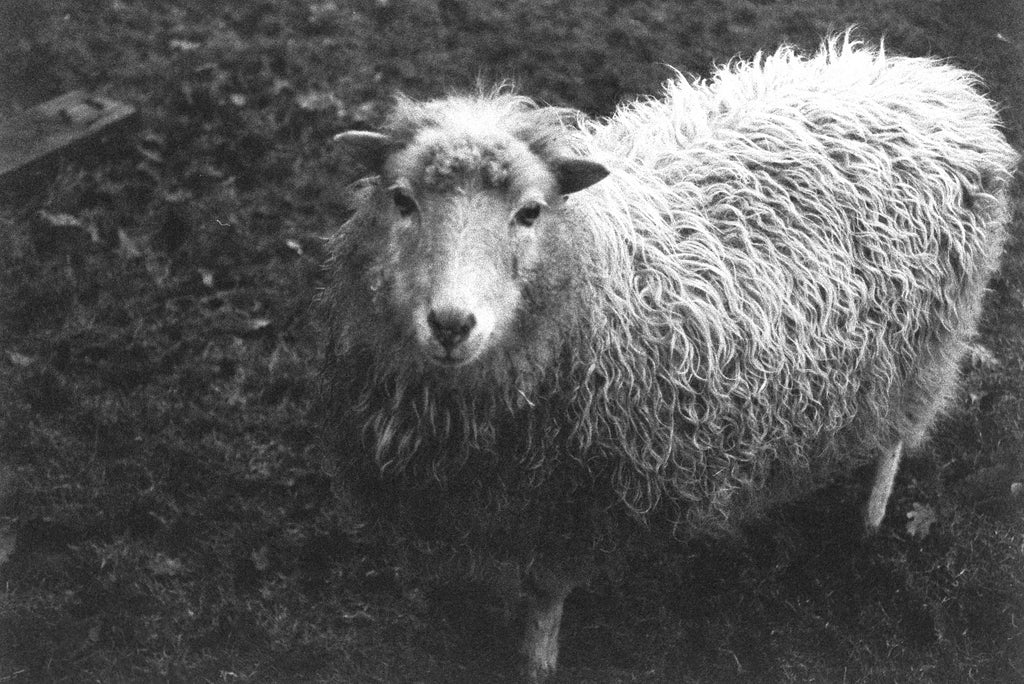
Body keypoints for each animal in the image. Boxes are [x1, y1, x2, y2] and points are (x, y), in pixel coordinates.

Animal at [320, 35, 1018, 681]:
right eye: (402, 200)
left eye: (530, 211)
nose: (451, 324)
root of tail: (932, 83)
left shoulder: (572, 505)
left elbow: (544, 596)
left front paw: (537, 661)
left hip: (928, 350)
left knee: (897, 438)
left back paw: (869, 522)